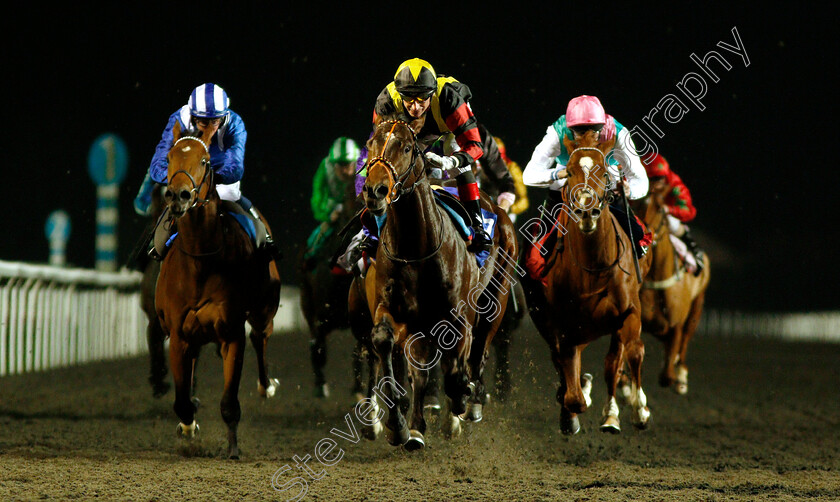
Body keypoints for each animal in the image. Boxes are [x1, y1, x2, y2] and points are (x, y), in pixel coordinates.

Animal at [153, 121, 280, 458]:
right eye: (169, 158)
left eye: (205, 161)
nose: (179, 195)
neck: (201, 262)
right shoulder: (179, 335)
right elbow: (182, 400)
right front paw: (188, 427)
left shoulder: (231, 333)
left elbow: (229, 402)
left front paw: (233, 448)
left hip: (264, 310)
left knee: (261, 336)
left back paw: (267, 385)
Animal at [356, 114, 516, 452]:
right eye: (371, 143)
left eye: (406, 147)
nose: (375, 190)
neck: (416, 246)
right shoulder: (394, 311)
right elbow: (384, 342)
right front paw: (398, 426)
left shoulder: (458, 317)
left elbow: (456, 369)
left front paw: (460, 401)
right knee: (422, 370)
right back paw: (417, 428)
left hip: (497, 297)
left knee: (479, 350)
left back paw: (469, 404)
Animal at [524, 130, 656, 436]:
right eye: (570, 172)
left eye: (604, 172)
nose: (587, 211)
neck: (593, 268)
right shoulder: (563, 326)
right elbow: (573, 393)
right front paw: (575, 402)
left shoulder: (628, 311)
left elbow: (630, 353)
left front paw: (635, 410)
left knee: (618, 358)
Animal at [636, 182, 708, 394]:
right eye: (635, 203)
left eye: (660, 208)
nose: (643, 232)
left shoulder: (675, 324)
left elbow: (666, 376)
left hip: (696, 310)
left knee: (683, 341)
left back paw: (681, 375)